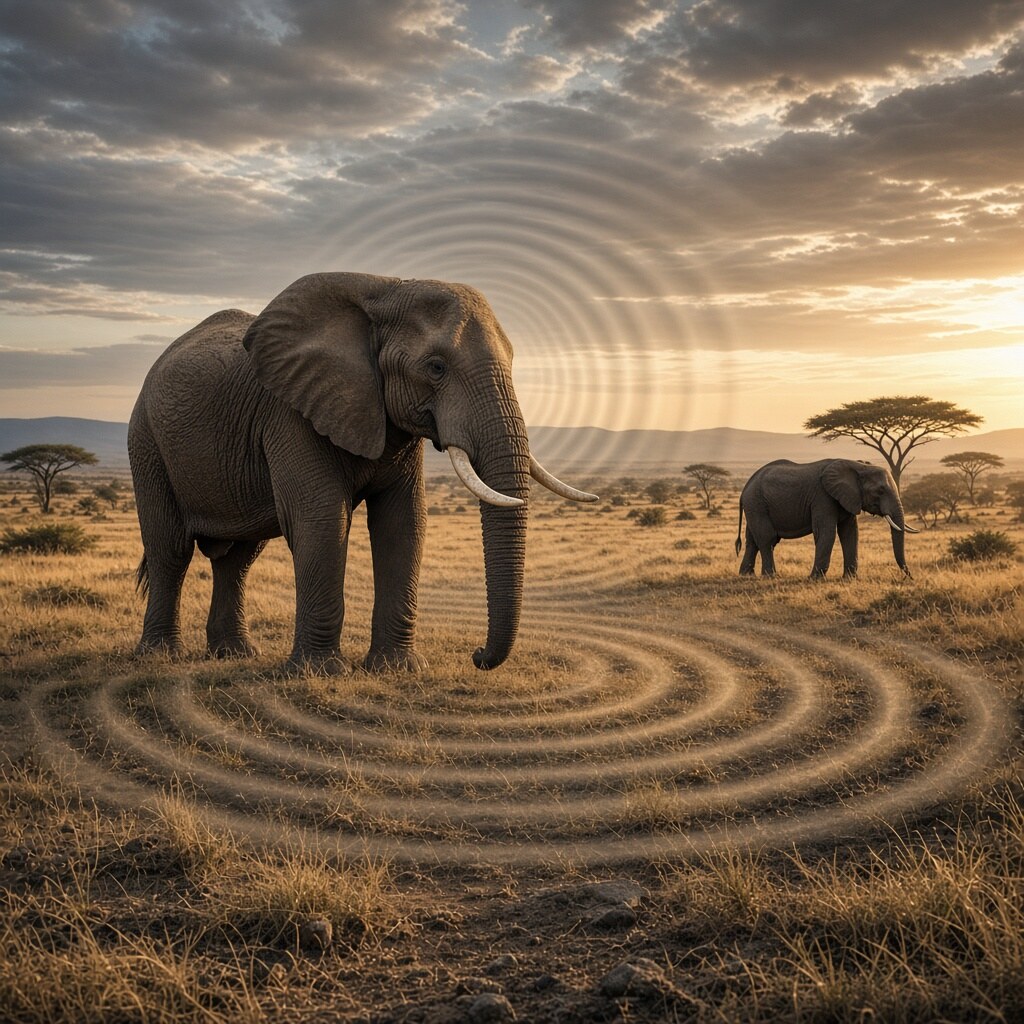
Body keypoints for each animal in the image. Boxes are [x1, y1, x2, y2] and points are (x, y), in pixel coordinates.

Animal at [128, 272, 597, 674]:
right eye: (436, 367)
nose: (477, 654)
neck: (386, 289)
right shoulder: (291, 412)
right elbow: (322, 519)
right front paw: (320, 673)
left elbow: (403, 522)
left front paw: (396, 669)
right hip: (147, 441)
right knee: (170, 548)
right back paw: (160, 656)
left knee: (239, 558)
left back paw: (234, 654)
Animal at [735, 458, 917, 578]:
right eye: (880, 491)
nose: (909, 576)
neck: (857, 466)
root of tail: (744, 488)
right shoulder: (822, 497)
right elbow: (826, 533)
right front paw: (815, 579)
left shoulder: (848, 498)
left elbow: (850, 534)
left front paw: (849, 579)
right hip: (756, 503)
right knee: (767, 538)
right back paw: (770, 576)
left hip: (755, 505)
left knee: (752, 540)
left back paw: (746, 575)